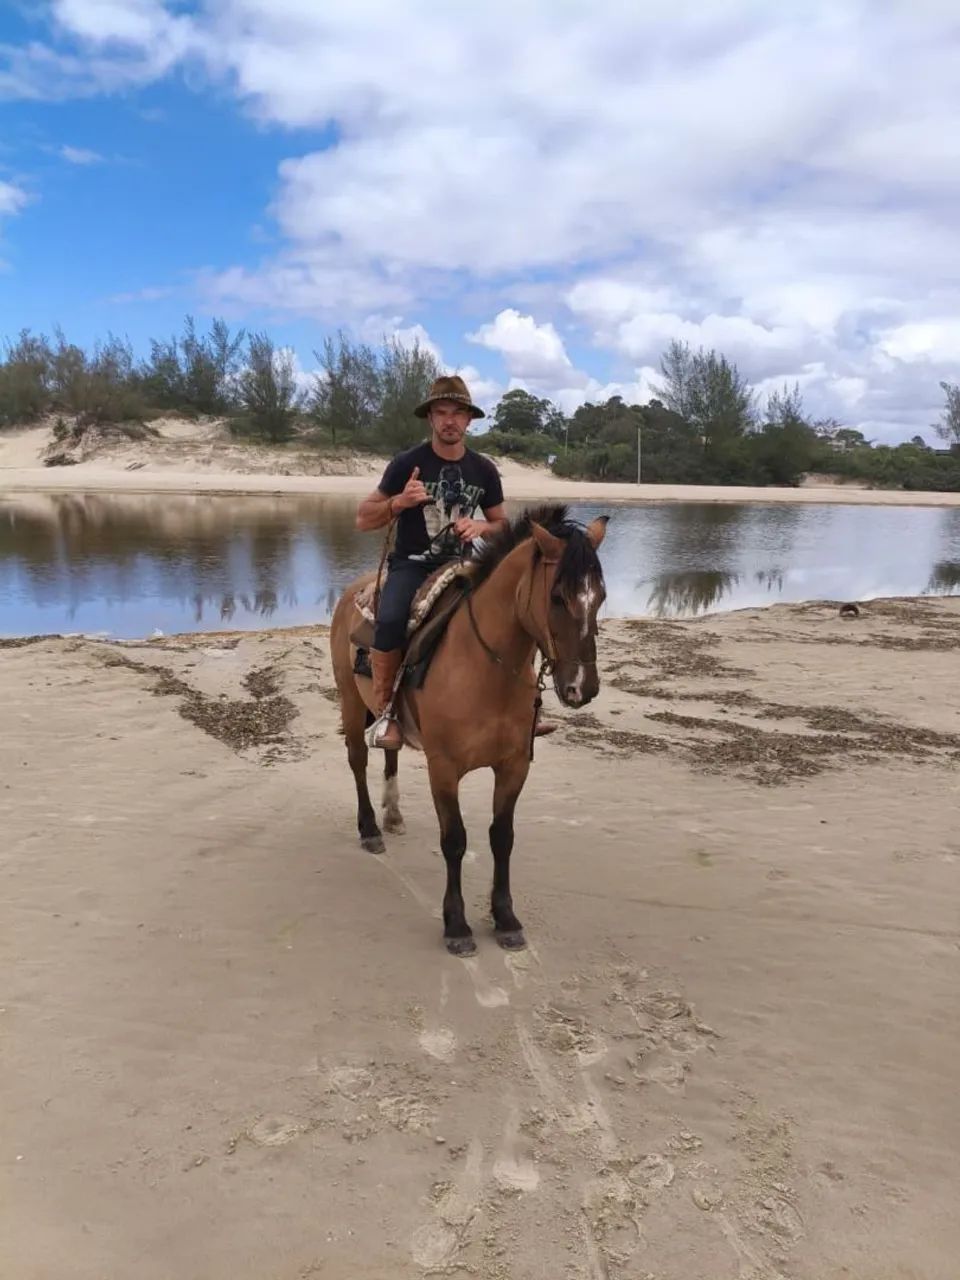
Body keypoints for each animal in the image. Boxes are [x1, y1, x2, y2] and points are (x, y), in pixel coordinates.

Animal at [328, 504, 608, 956]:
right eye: (557, 597)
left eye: (600, 597)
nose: (582, 687)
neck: (487, 668)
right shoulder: (443, 768)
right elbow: (455, 840)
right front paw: (456, 925)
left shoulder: (514, 765)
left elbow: (502, 836)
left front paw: (505, 918)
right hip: (351, 704)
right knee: (357, 761)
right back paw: (370, 829)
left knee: (390, 752)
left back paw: (393, 813)